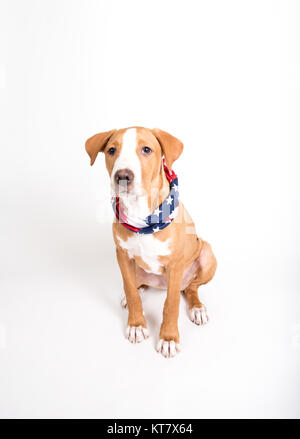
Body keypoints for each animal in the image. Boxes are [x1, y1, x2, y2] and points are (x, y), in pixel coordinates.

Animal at [85, 126, 217, 358]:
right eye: (111, 150)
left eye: (146, 149)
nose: (122, 176)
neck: (140, 214)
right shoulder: (122, 255)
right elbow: (130, 290)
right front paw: (137, 325)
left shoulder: (175, 264)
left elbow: (171, 304)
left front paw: (168, 338)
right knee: (136, 284)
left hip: (207, 254)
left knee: (191, 288)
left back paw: (197, 308)